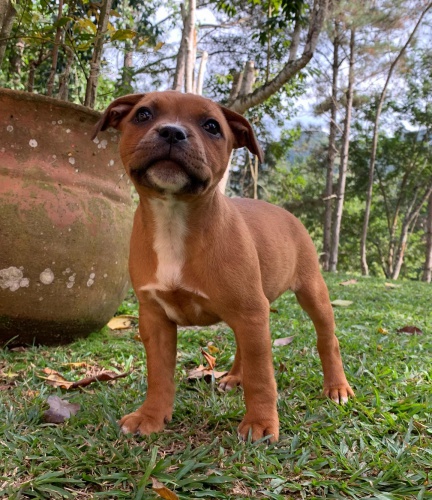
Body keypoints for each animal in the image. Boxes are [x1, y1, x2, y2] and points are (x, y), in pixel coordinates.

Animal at [92, 91, 354, 442]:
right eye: (143, 115)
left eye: (212, 126)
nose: (172, 132)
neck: (174, 218)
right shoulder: (155, 318)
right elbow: (159, 374)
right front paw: (151, 416)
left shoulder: (250, 311)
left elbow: (262, 377)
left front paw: (260, 423)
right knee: (248, 346)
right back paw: (233, 376)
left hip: (311, 292)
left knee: (327, 339)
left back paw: (336, 386)